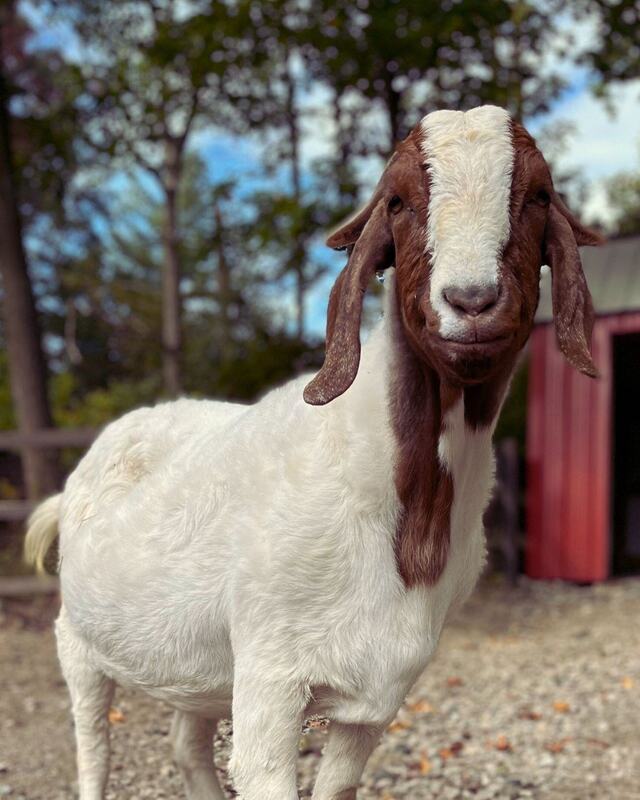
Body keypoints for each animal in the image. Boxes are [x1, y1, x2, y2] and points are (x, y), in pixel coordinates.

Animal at [25, 105, 601, 800]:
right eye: (400, 202)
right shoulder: (271, 674)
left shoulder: (378, 695)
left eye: (538, 197)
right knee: (93, 742)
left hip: (197, 671)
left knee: (185, 742)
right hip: (79, 640)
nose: (471, 300)